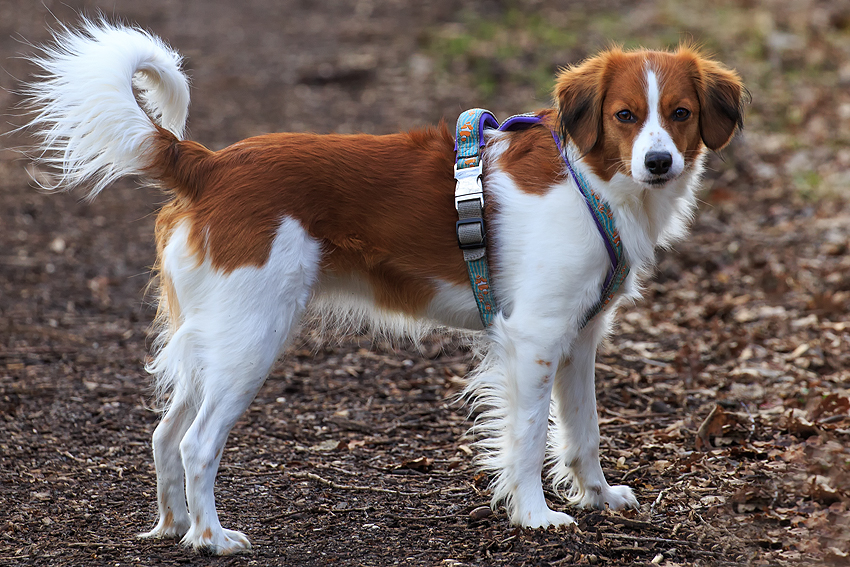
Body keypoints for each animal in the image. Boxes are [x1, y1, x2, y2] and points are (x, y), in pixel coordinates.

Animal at [24, 18, 744, 556]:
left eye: (679, 113)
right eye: (625, 116)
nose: (659, 161)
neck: (591, 180)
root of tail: (207, 164)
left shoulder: (579, 337)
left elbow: (582, 431)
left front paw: (598, 496)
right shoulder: (535, 337)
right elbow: (530, 435)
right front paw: (536, 515)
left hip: (213, 339)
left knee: (164, 434)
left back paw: (173, 526)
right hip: (252, 337)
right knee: (198, 441)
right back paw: (211, 536)